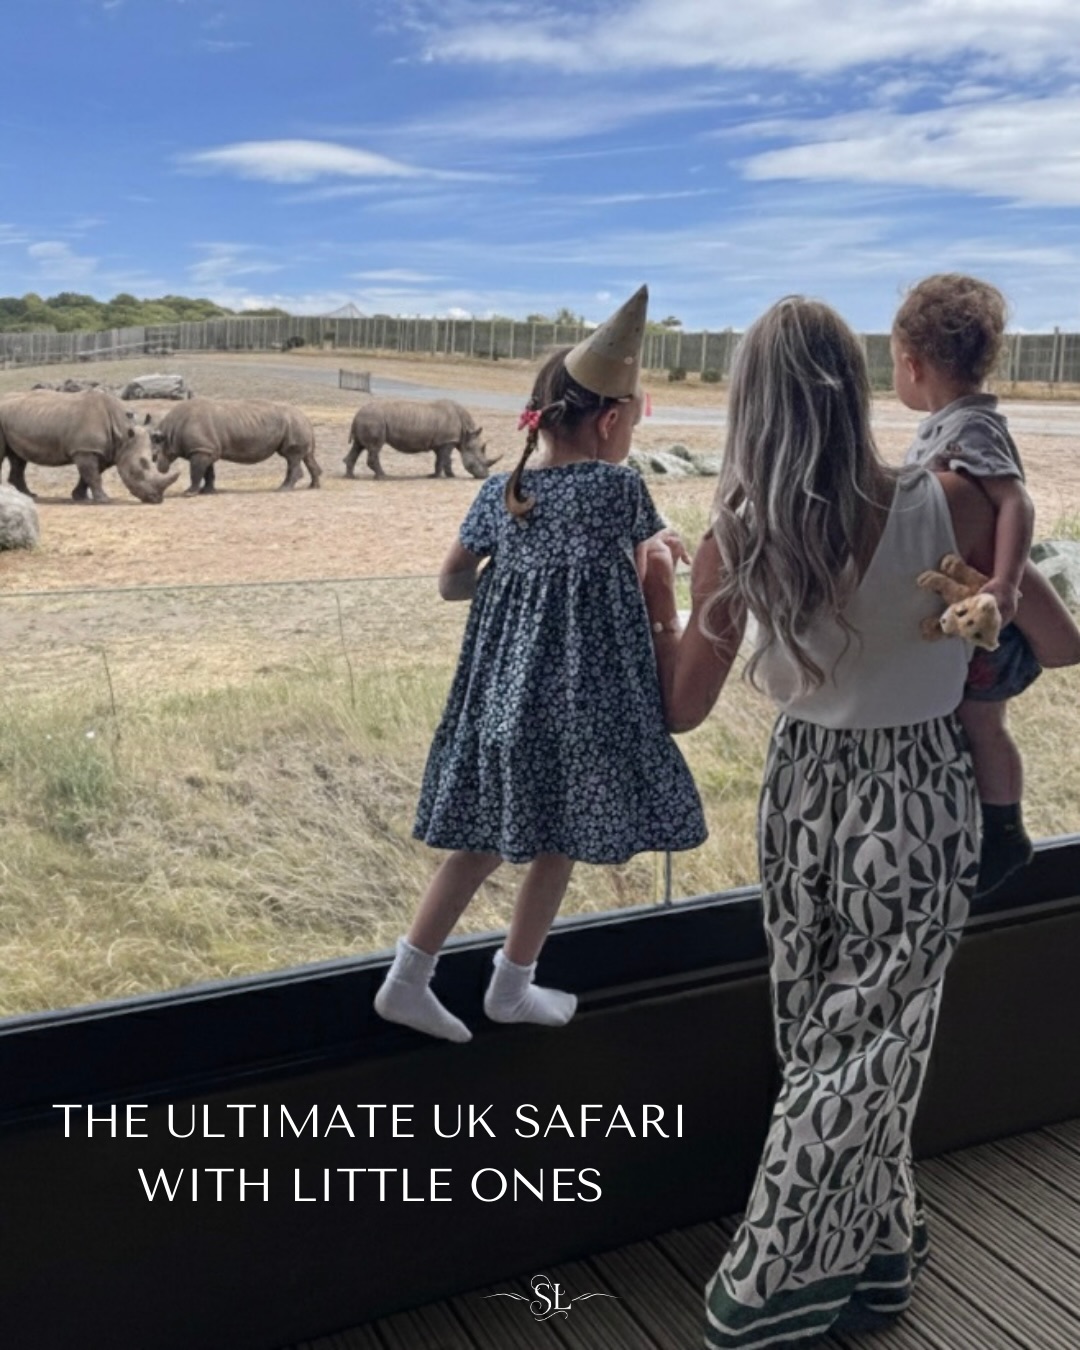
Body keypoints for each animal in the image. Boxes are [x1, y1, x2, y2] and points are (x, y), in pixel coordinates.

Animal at [0, 388, 178, 504]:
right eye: (136, 472)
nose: (157, 500)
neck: (123, 435)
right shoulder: (85, 450)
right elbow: (93, 476)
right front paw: (104, 500)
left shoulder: (102, 451)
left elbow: (89, 475)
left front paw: (80, 497)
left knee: (18, 458)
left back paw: (29, 495)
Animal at [152, 398, 321, 495]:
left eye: (154, 457)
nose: (160, 468)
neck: (169, 434)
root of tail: (306, 417)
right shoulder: (207, 449)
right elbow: (208, 472)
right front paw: (207, 491)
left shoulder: (200, 450)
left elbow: (196, 472)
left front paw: (189, 493)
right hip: (297, 424)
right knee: (306, 456)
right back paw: (313, 487)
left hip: (294, 424)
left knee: (291, 457)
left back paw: (282, 490)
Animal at [344, 398, 498, 479]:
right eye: (479, 458)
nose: (485, 476)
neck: (467, 434)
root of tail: (356, 416)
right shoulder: (447, 441)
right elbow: (446, 459)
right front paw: (450, 476)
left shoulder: (440, 442)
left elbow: (439, 460)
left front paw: (434, 475)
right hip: (374, 420)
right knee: (374, 448)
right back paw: (384, 477)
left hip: (368, 419)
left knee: (358, 446)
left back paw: (351, 476)